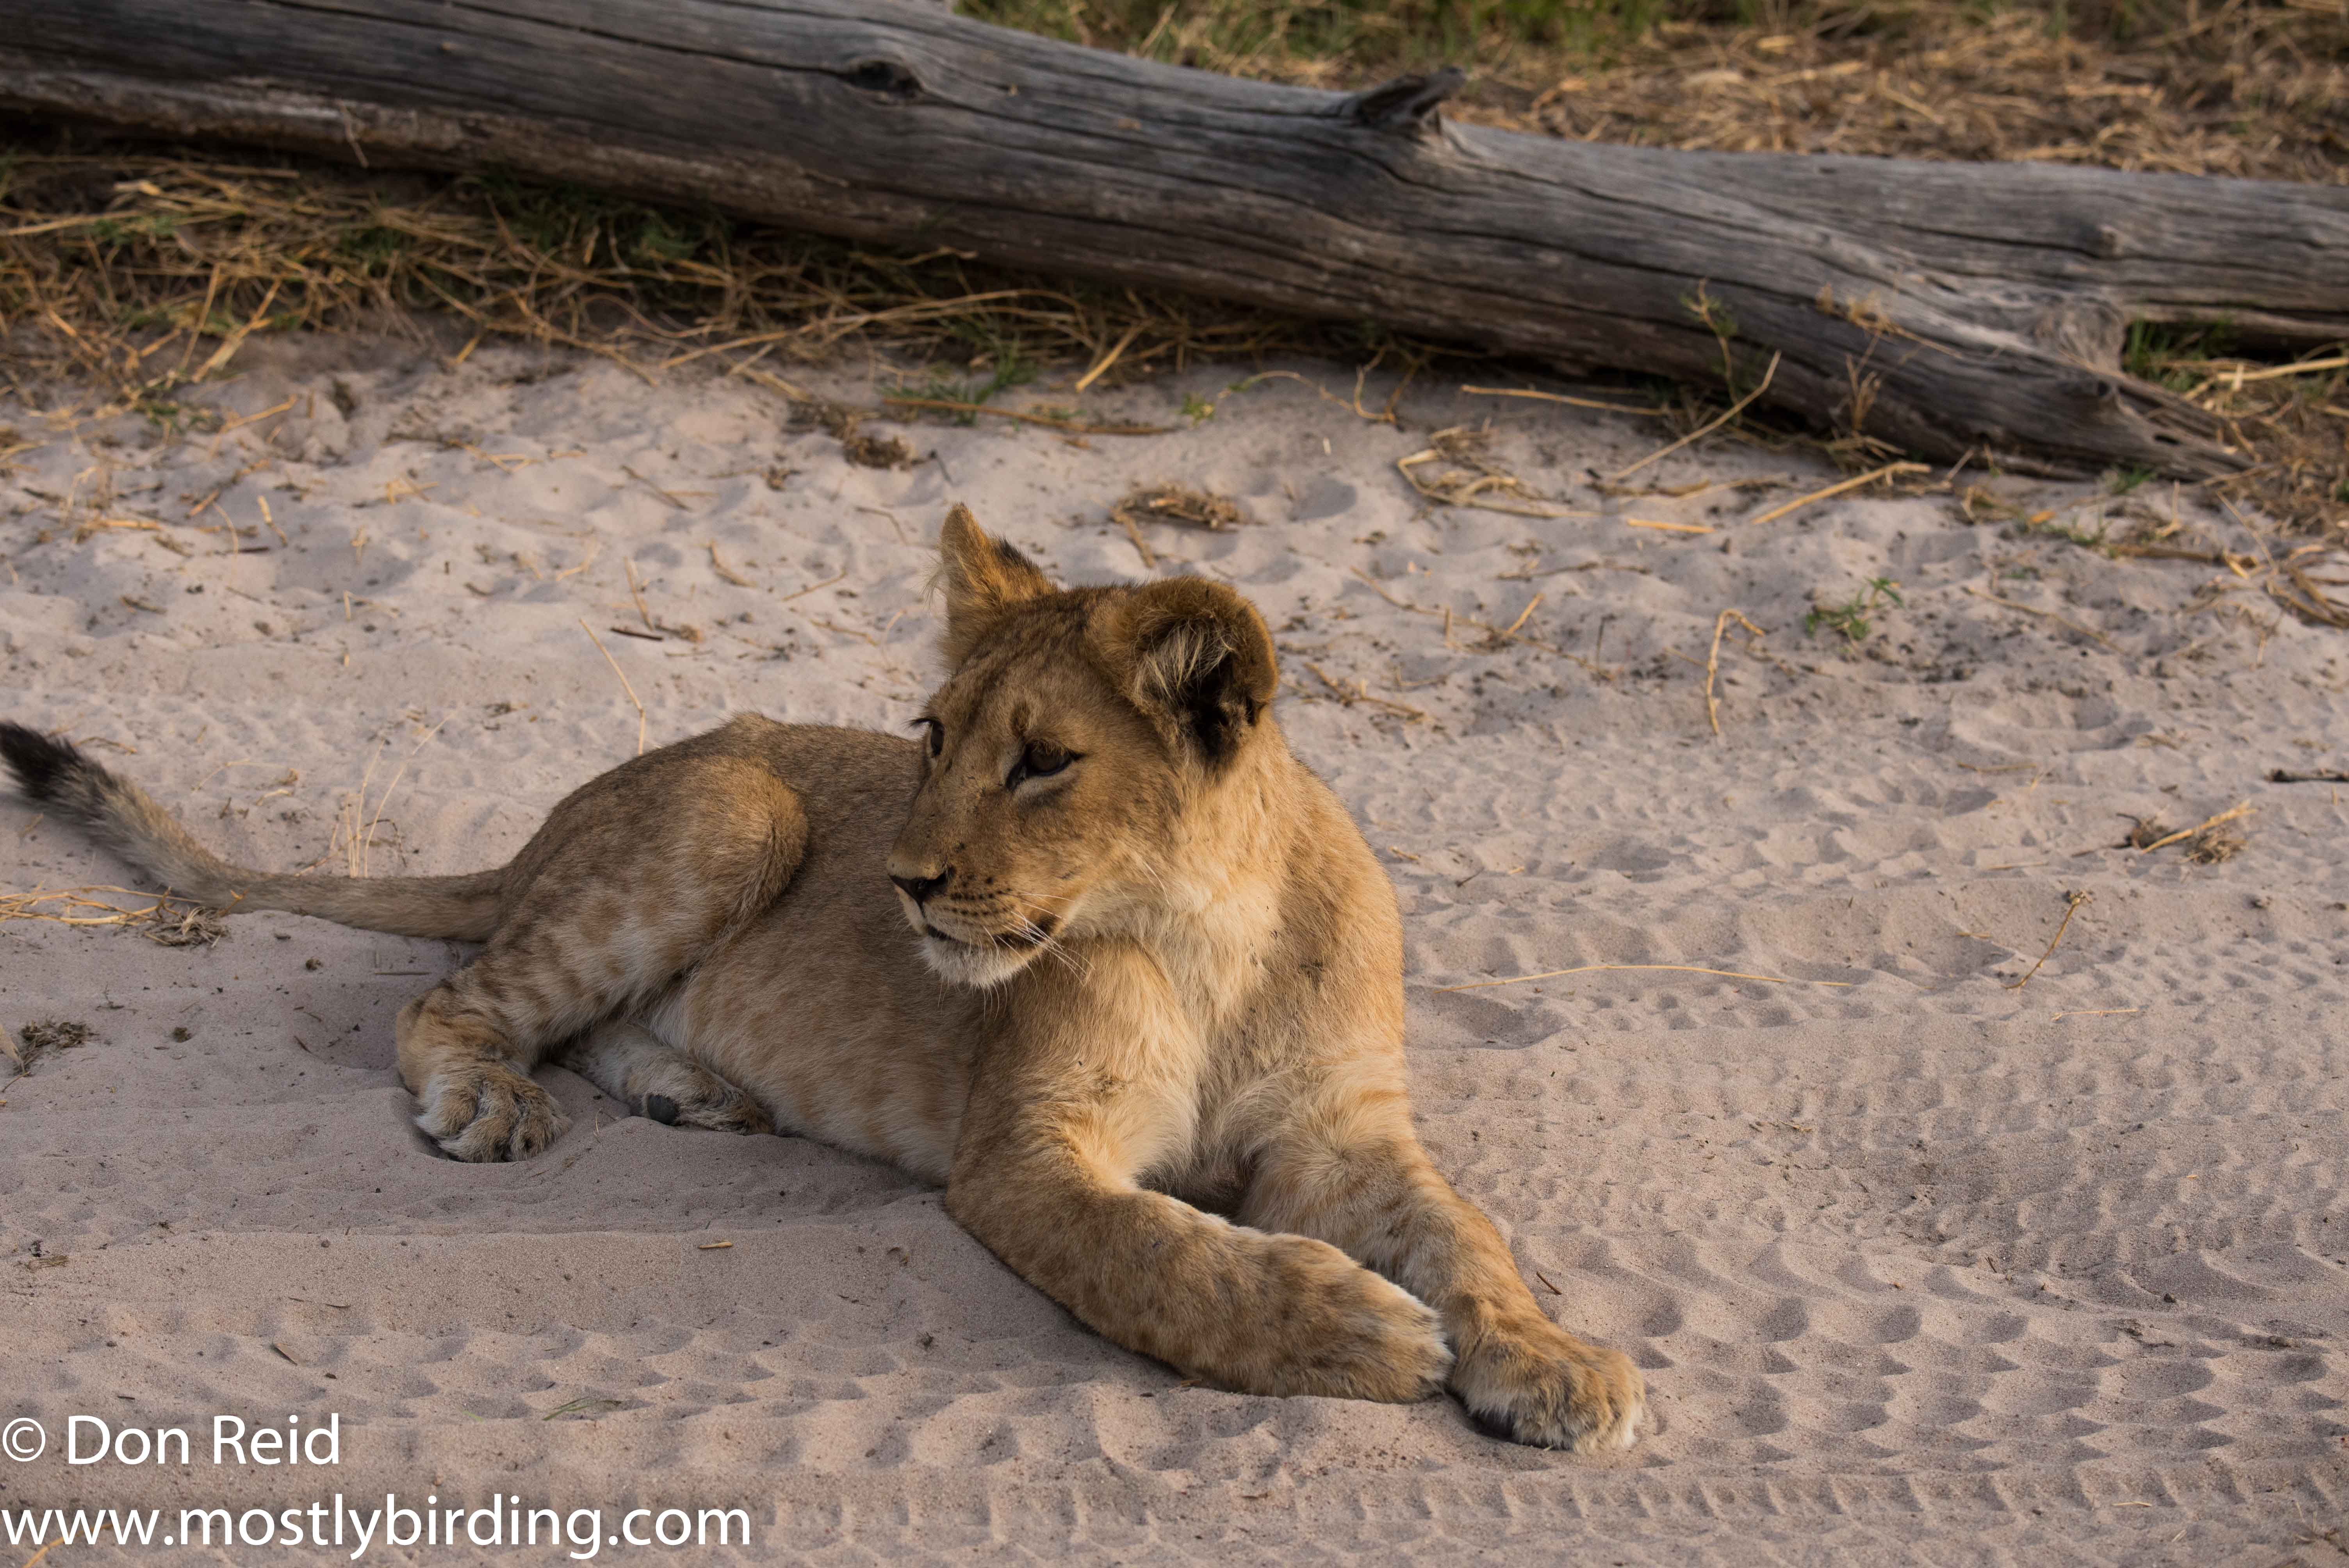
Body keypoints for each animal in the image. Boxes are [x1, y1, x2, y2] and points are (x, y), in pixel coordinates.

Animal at [0, 504, 1644, 1451]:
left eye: (1043, 761)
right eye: (930, 733)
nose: (902, 881)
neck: (1211, 932)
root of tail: (545, 823)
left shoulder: (1339, 1132)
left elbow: (1470, 1233)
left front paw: (1556, 1364)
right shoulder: (1023, 1154)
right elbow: (1157, 1252)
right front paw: (1355, 1329)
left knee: (571, 1015)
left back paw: (688, 1089)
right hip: (739, 809)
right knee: (452, 996)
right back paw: (495, 1099)